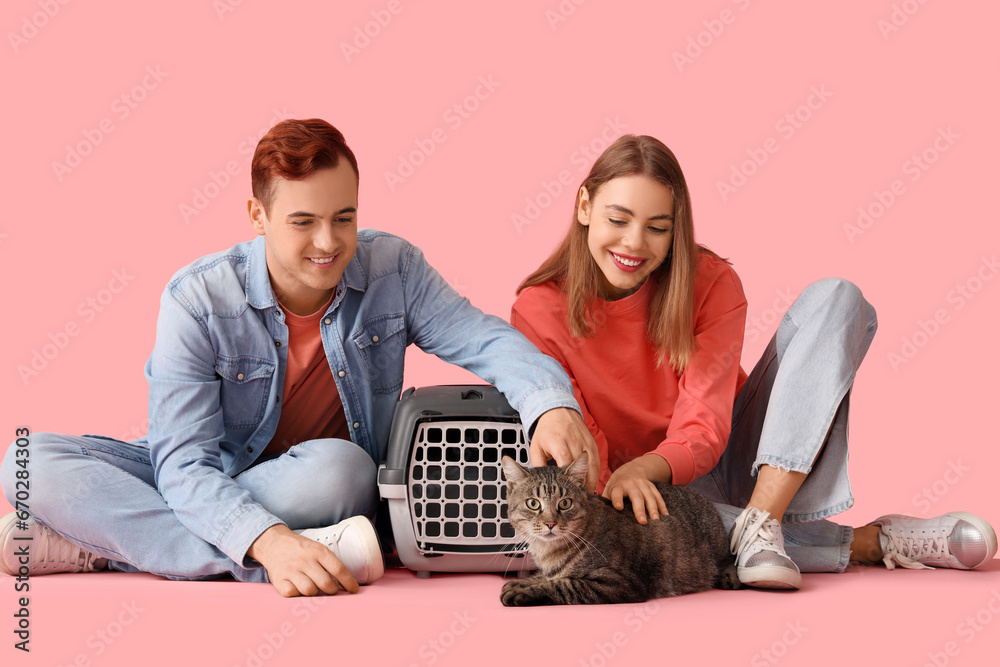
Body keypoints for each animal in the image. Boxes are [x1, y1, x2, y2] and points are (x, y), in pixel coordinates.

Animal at [500, 454, 744, 604]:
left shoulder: (620, 583)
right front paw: (525, 582)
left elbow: (564, 584)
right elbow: (547, 577)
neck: (548, 552)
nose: (550, 523)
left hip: (716, 545)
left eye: (565, 503)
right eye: (533, 503)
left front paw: (524, 590)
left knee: (730, 558)